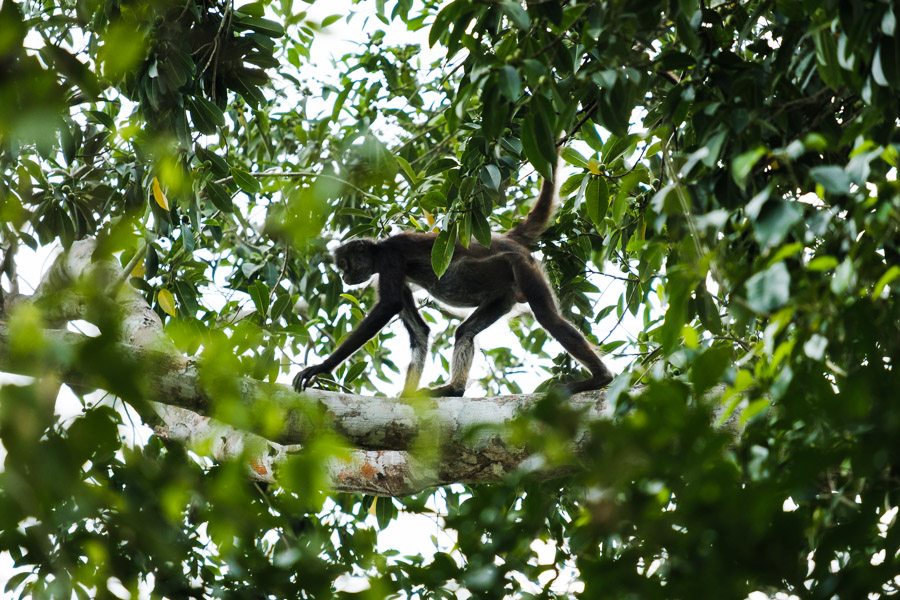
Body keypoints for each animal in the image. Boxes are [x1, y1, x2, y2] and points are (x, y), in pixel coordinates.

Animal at [292, 159, 615, 397]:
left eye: (344, 264)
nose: (344, 276)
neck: (380, 248)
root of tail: (505, 238)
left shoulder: (390, 259)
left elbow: (389, 305)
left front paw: (321, 368)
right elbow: (420, 332)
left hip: (522, 268)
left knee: (549, 318)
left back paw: (600, 378)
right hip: (504, 295)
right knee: (465, 333)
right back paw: (454, 389)